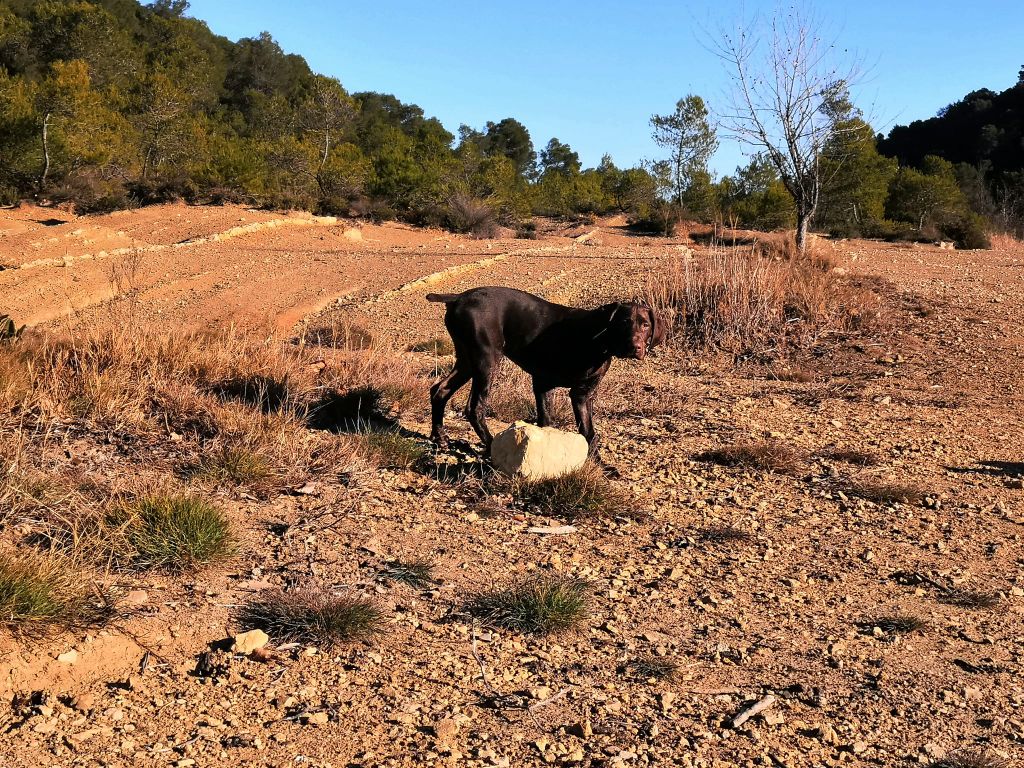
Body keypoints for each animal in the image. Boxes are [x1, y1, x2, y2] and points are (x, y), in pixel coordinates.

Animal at [421, 288, 663, 456]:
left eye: (645, 325)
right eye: (623, 322)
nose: (635, 347)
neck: (597, 337)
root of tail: (458, 297)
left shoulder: (564, 389)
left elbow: (569, 428)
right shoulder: (569, 391)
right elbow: (584, 431)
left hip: (467, 361)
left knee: (440, 390)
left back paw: (439, 436)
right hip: (486, 361)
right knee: (474, 408)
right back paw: (490, 446)